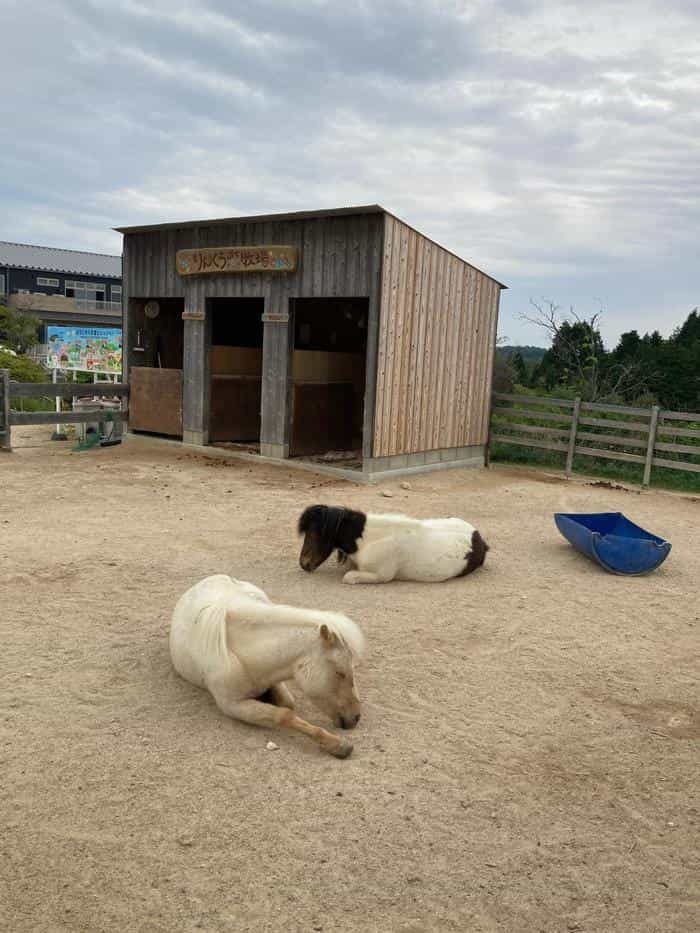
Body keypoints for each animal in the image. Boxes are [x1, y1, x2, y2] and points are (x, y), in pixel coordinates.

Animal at [172, 576, 364, 756]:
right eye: (340, 672)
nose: (356, 717)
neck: (243, 656)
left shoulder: (273, 679)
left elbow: (288, 704)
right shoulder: (232, 705)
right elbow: (283, 714)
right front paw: (336, 744)